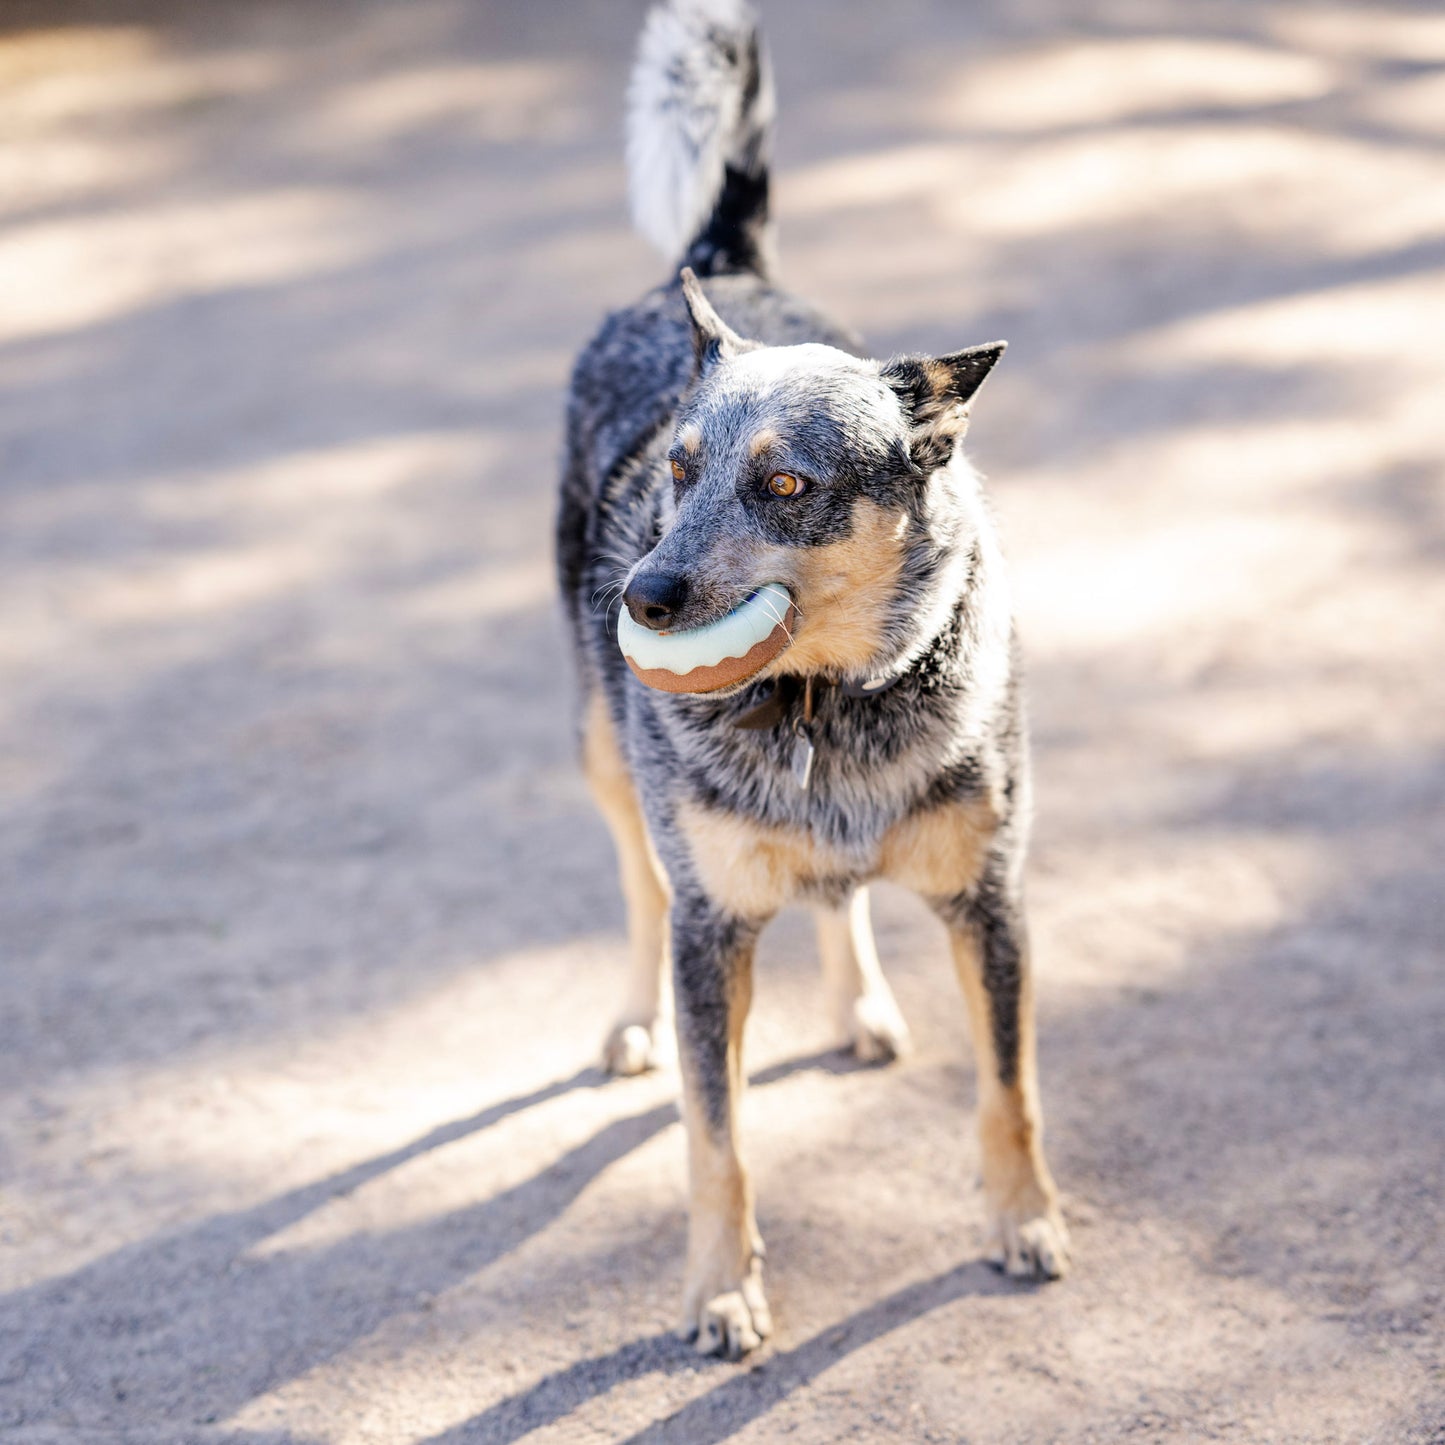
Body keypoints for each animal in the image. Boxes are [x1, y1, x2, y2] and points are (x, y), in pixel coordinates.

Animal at [557, 0, 1069, 1358]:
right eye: (681, 468)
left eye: (785, 483)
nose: (640, 596)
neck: (823, 706)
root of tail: (718, 261)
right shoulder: (713, 927)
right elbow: (715, 1134)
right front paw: (720, 1287)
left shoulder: (991, 901)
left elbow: (1008, 1085)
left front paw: (1024, 1217)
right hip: (599, 754)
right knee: (633, 880)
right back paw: (627, 1020)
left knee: (839, 899)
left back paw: (862, 1004)